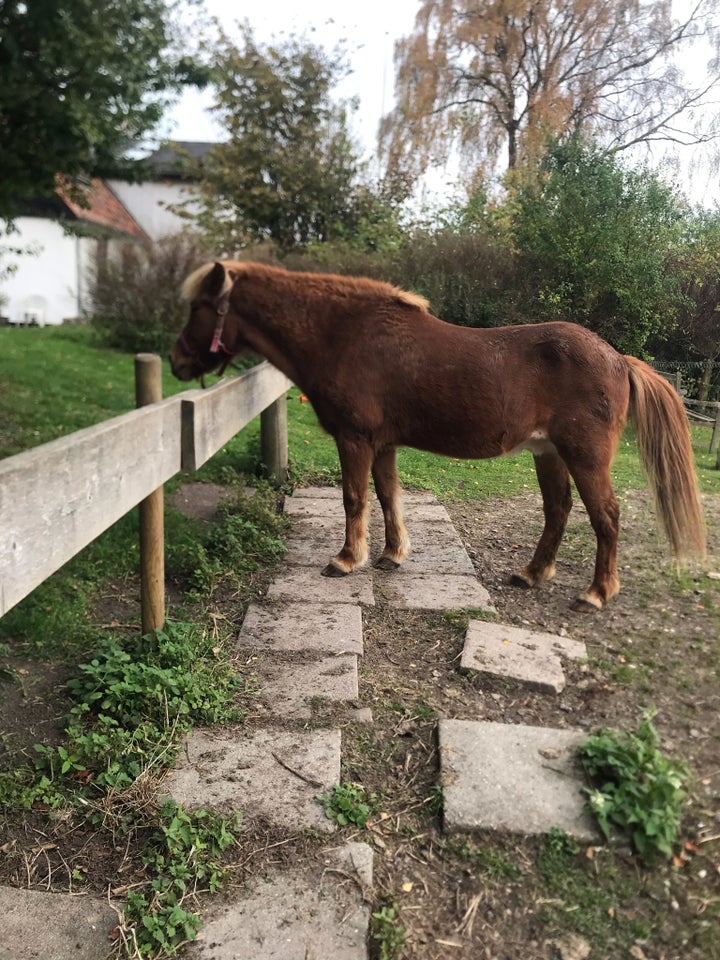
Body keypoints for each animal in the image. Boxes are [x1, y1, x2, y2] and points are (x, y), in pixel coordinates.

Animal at [169, 258, 704, 612]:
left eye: (200, 306)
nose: (176, 361)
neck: (346, 336)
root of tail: (617, 358)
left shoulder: (355, 440)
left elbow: (354, 498)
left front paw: (346, 559)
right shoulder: (382, 445)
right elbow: (387, 496)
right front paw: (391, 555)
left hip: (585, 456)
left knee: (606, 517)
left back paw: (596, 592)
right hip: (548, 452)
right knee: (558, 510)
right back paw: (532, 574)